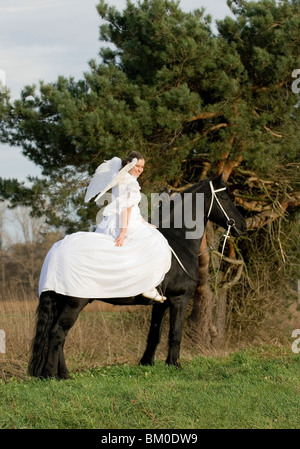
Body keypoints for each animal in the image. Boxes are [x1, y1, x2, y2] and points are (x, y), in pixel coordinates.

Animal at [28, 175, 246, 378]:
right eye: (225, 197)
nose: (243, 226)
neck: (179, 241)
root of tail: (57, 249)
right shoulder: (180, 298)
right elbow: (175, 333)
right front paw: (175, 364)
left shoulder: (161, 303)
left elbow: (154, 334)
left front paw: (146, 363)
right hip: (74, 303)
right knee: (58, 333)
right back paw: (53, 375)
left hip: (63, 301)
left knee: (55, 333)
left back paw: (62, 374)